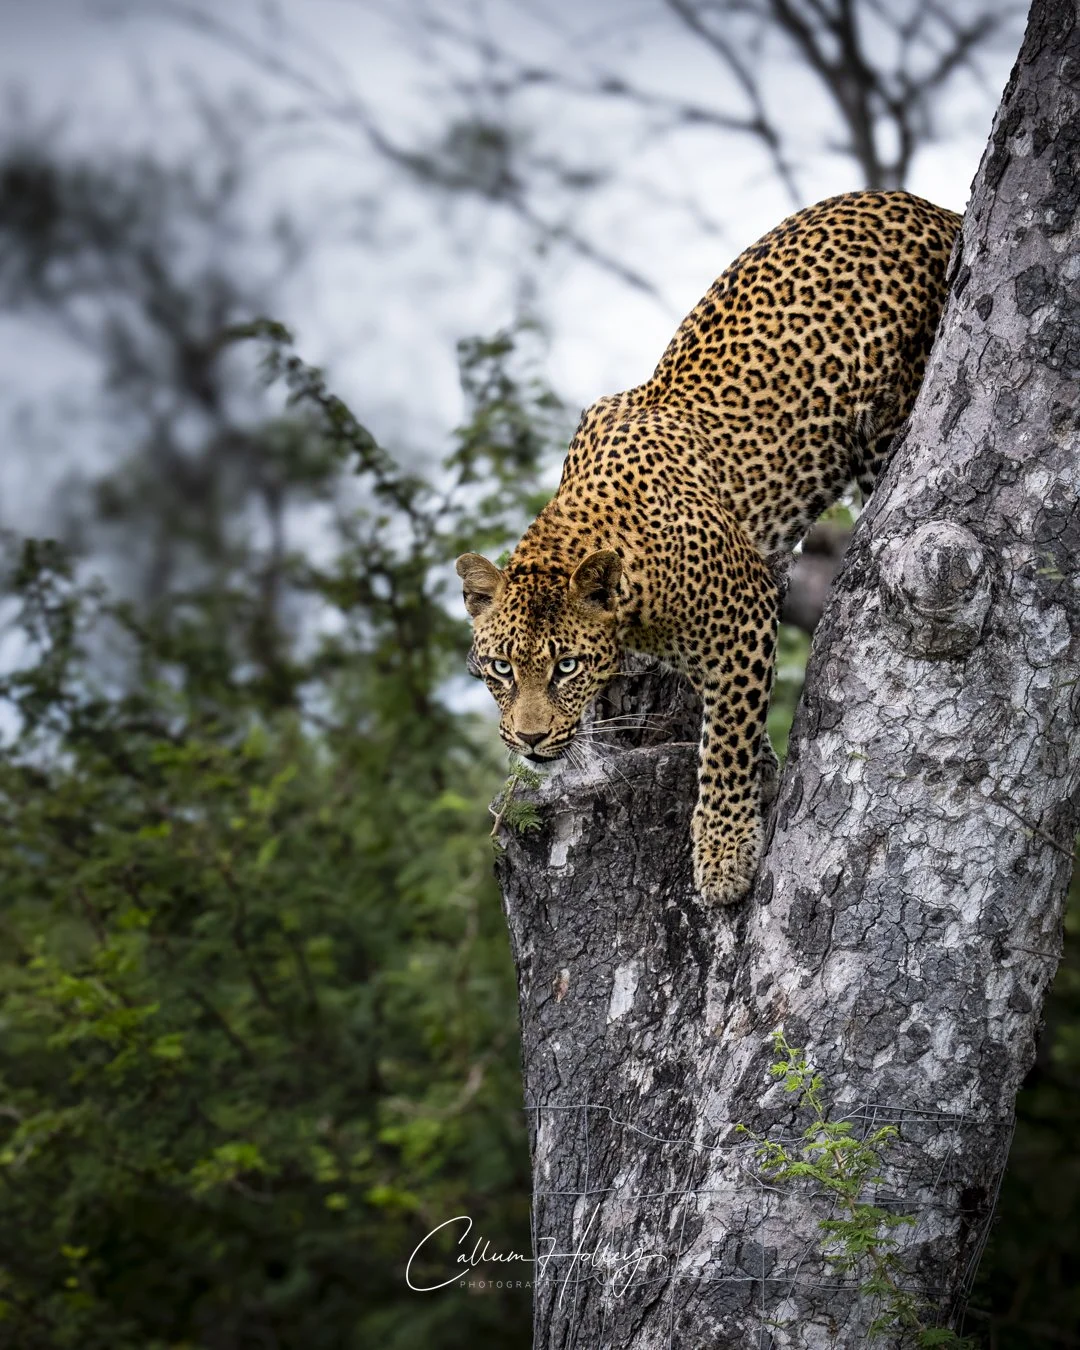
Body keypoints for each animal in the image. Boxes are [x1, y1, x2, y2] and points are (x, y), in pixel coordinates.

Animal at [457, 190, 961, 906]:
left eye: (566, 667)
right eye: (501, 668)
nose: (529, 739)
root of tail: (932, 206)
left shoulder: (743, 613)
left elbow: (725, 739)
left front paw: (723, 857)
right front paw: (765, 773)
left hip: (890, 421)